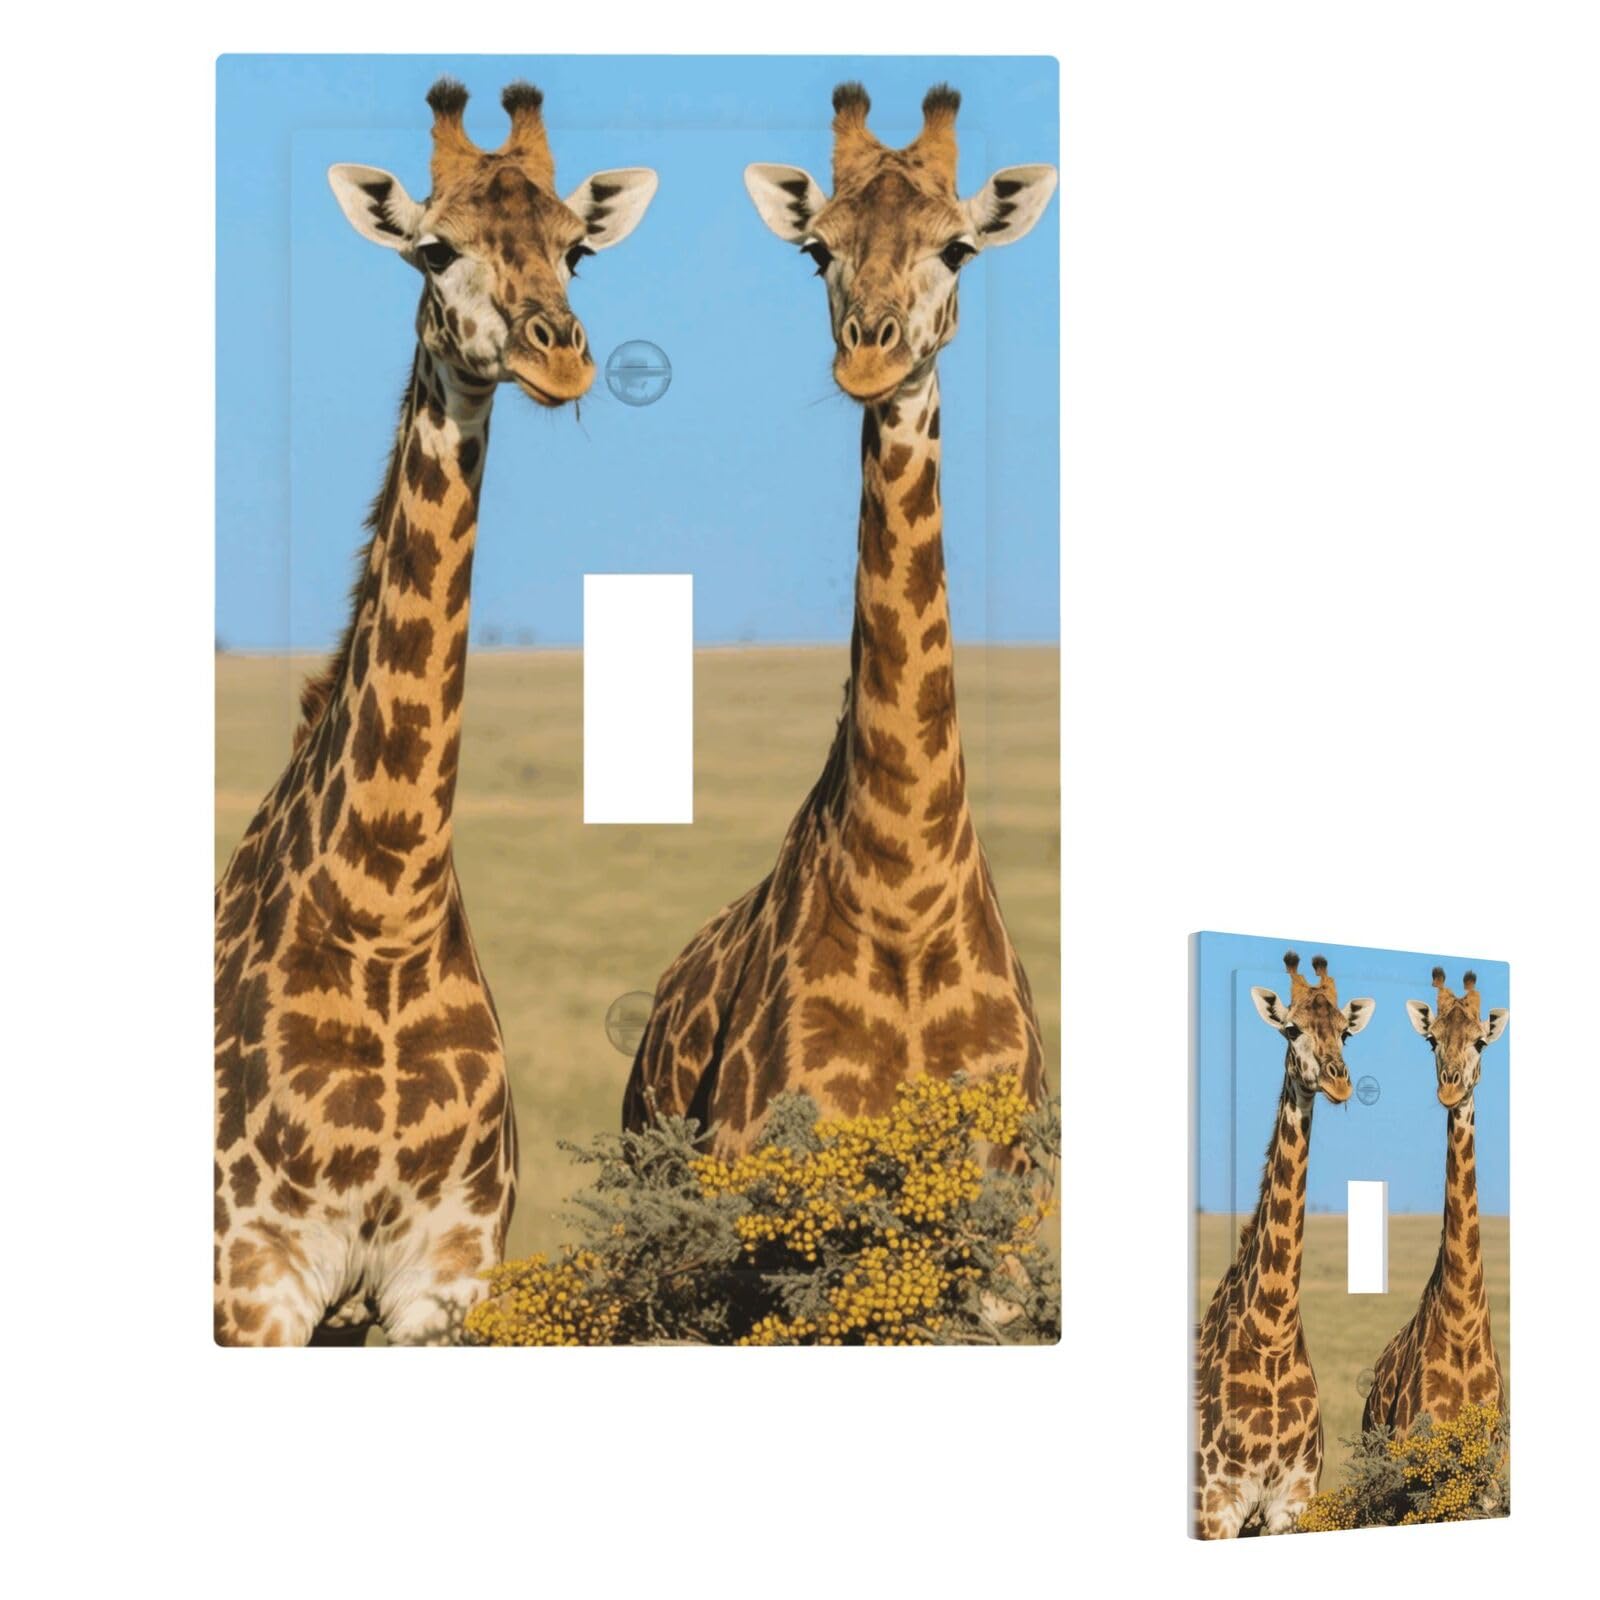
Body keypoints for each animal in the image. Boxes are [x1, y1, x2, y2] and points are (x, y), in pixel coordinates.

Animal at [213, 80, 657, 1346]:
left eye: (574, 248)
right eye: (434, 247)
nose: (563, 359)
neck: (384, 916)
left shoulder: (446, 1274)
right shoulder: (253, 1276)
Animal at [1194, 952, 1377, 1537]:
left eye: (1346, 1030)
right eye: (1292, 1028)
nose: (1341, 1083)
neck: (1270, 1333)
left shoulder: (1292, 1501)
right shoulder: (1215, 1505)